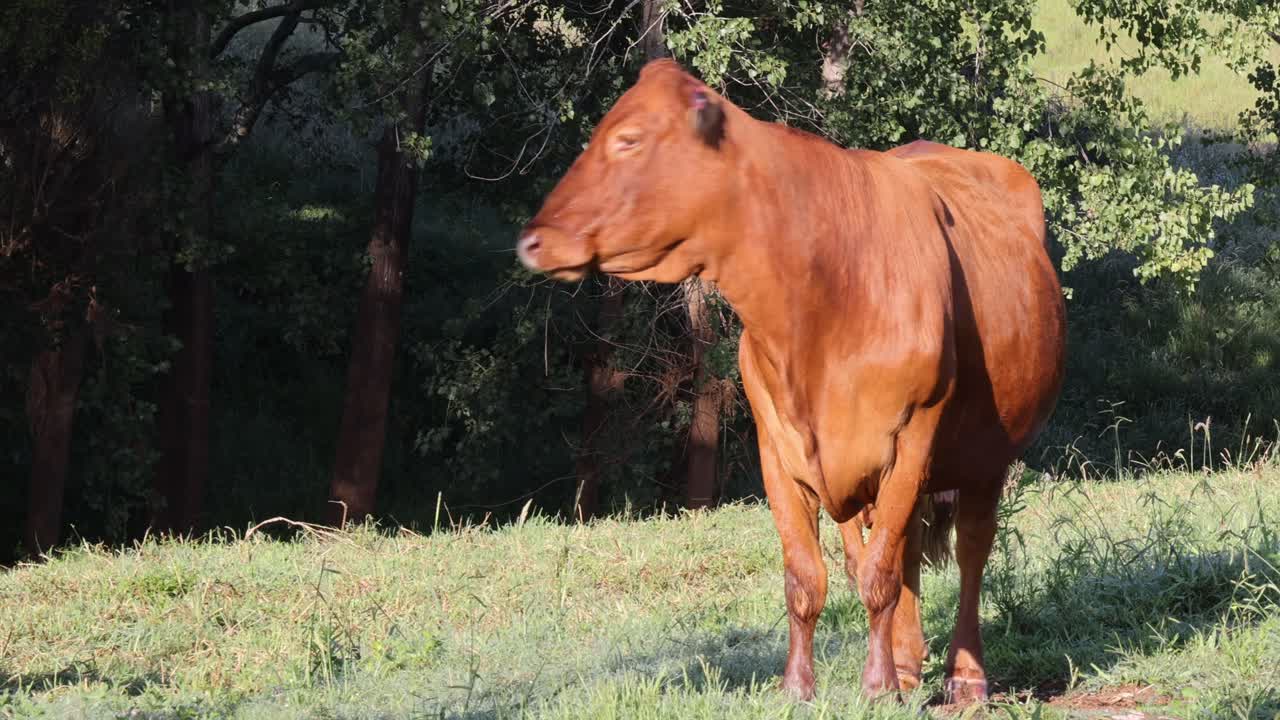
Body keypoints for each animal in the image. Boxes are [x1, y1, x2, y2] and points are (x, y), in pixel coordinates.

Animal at [515, 58, 1066, 703]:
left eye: (628, 140)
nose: (532, 240)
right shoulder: (779, 446)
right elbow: (810, 576)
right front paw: (800, 687)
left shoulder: (913, 436)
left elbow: (880, 574)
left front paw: (876, 686)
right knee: (900, 550)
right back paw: (908, 664)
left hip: (986, 455)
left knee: (972, 550)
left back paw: (965, 676)